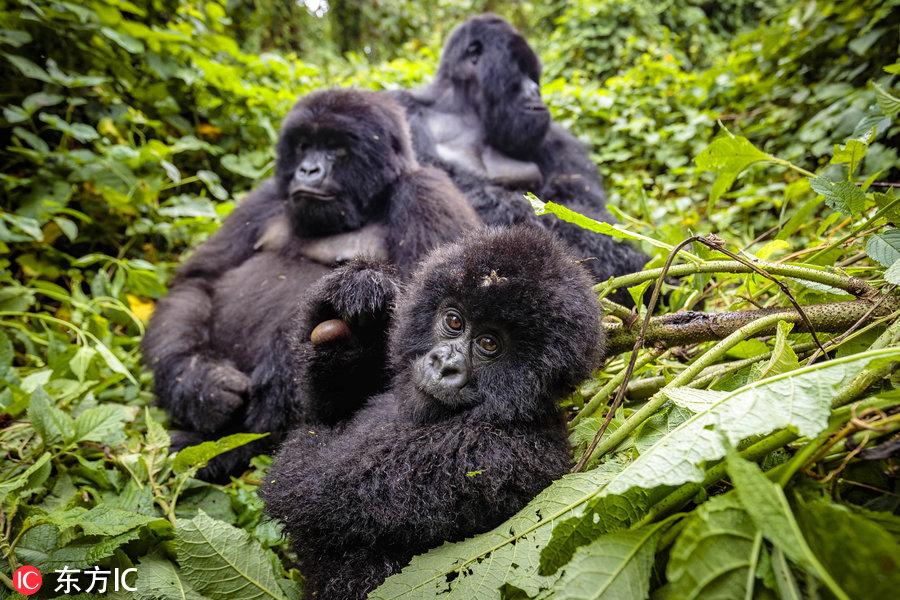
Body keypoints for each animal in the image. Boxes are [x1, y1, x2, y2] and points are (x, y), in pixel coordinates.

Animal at [264, 226, 608, 600]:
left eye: (489, 344)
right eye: (454, 321)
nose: (444, 365)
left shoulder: (488, 454)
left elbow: (307, 481)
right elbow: (323, 415)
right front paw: (354, 297)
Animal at [390, 11, 652, 298]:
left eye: (532, 74)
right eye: (519, 69)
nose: (535, 91)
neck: (467, 108)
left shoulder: (556, 137)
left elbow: (584, 207)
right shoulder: (404, 107)